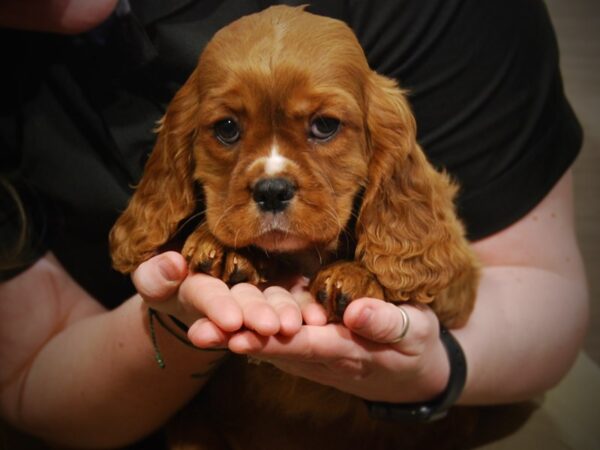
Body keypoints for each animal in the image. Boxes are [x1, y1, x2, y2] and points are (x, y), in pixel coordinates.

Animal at [110, 4, 480, 450]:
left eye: (325, 125)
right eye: (227, 128)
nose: (272, 190)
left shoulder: (459, 277)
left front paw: (354, 275)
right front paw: (228, 249)